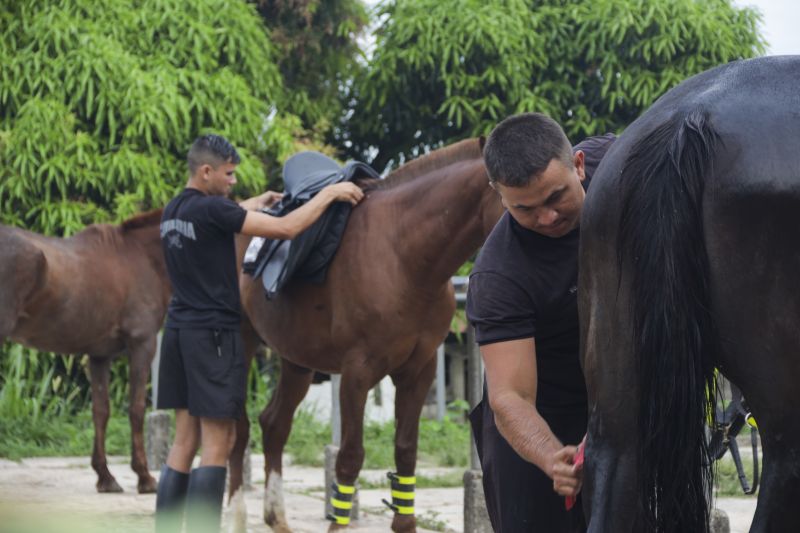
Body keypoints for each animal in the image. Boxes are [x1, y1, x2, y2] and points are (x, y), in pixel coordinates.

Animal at [0, 210, 169, 492]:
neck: (142, 256)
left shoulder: (100, 355)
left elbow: (100, 411)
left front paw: (105, 477)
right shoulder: (142, 344)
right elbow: (136, 409)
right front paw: (145, 477)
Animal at [225, 139, 500, 528]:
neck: (404, 258)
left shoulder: (419, 371)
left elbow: (406, 451)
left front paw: (404, 525)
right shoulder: (358, 371)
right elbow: (350, 456)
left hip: (297, 359)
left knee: (274, 424)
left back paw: (276, 516)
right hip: (242, 343)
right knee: (239, 428)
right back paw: (236, 513)